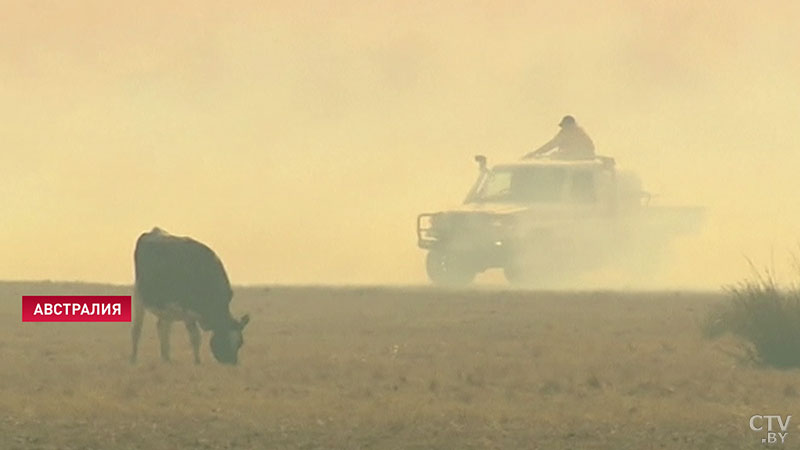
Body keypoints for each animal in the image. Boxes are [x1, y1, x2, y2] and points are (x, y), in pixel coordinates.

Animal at [131, 229, 250, 366]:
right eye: (223, 338)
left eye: (240, 342)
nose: (232, 362)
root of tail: (154, 231)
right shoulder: (187, 311)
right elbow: (195, 338)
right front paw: (197, 362)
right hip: (139, 295)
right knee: (137, 329)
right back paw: (134, 358)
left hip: (166, 307)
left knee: (163, 328)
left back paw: (166, 358)